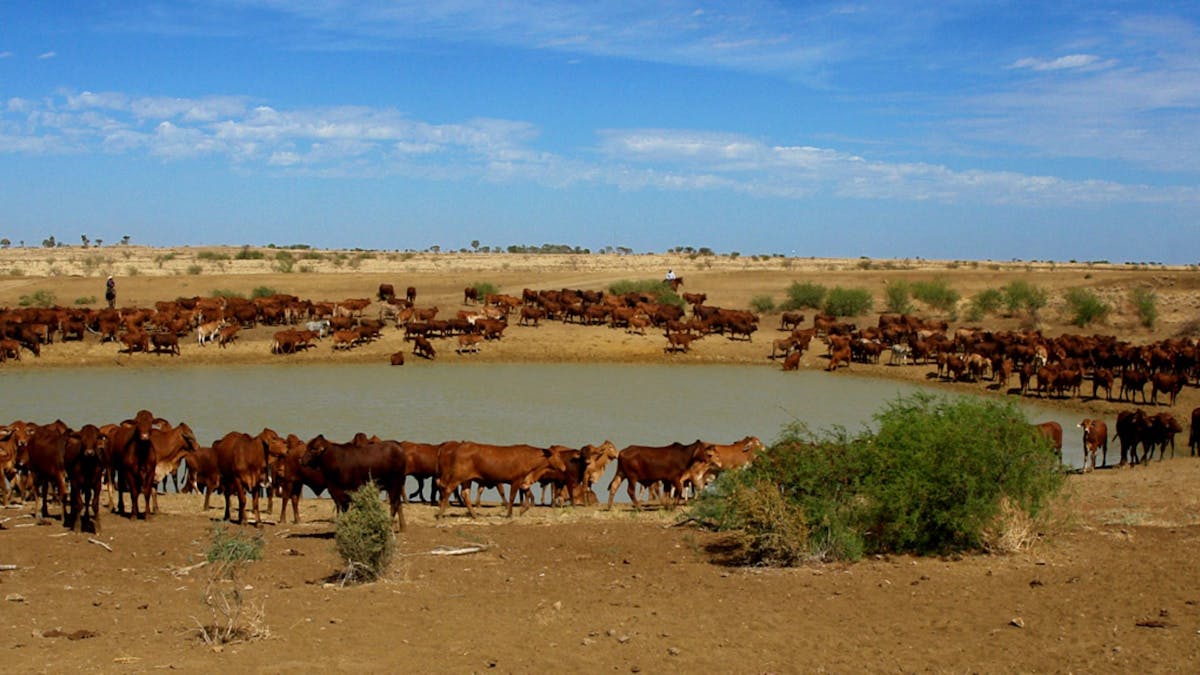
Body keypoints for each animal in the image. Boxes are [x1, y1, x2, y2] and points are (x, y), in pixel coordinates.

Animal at [436, 442, 570, 518]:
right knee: (447, 489)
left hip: (467, 479)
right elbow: (512, 497)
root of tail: (460, 447)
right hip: (457, 476)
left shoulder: (523, 482)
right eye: (557, 456)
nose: (564, 467)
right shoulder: (516, 480)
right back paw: (440, 514)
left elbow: (530, 496)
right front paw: (509, 514)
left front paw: (522, 511)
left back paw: (474, 515)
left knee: (465, 494)